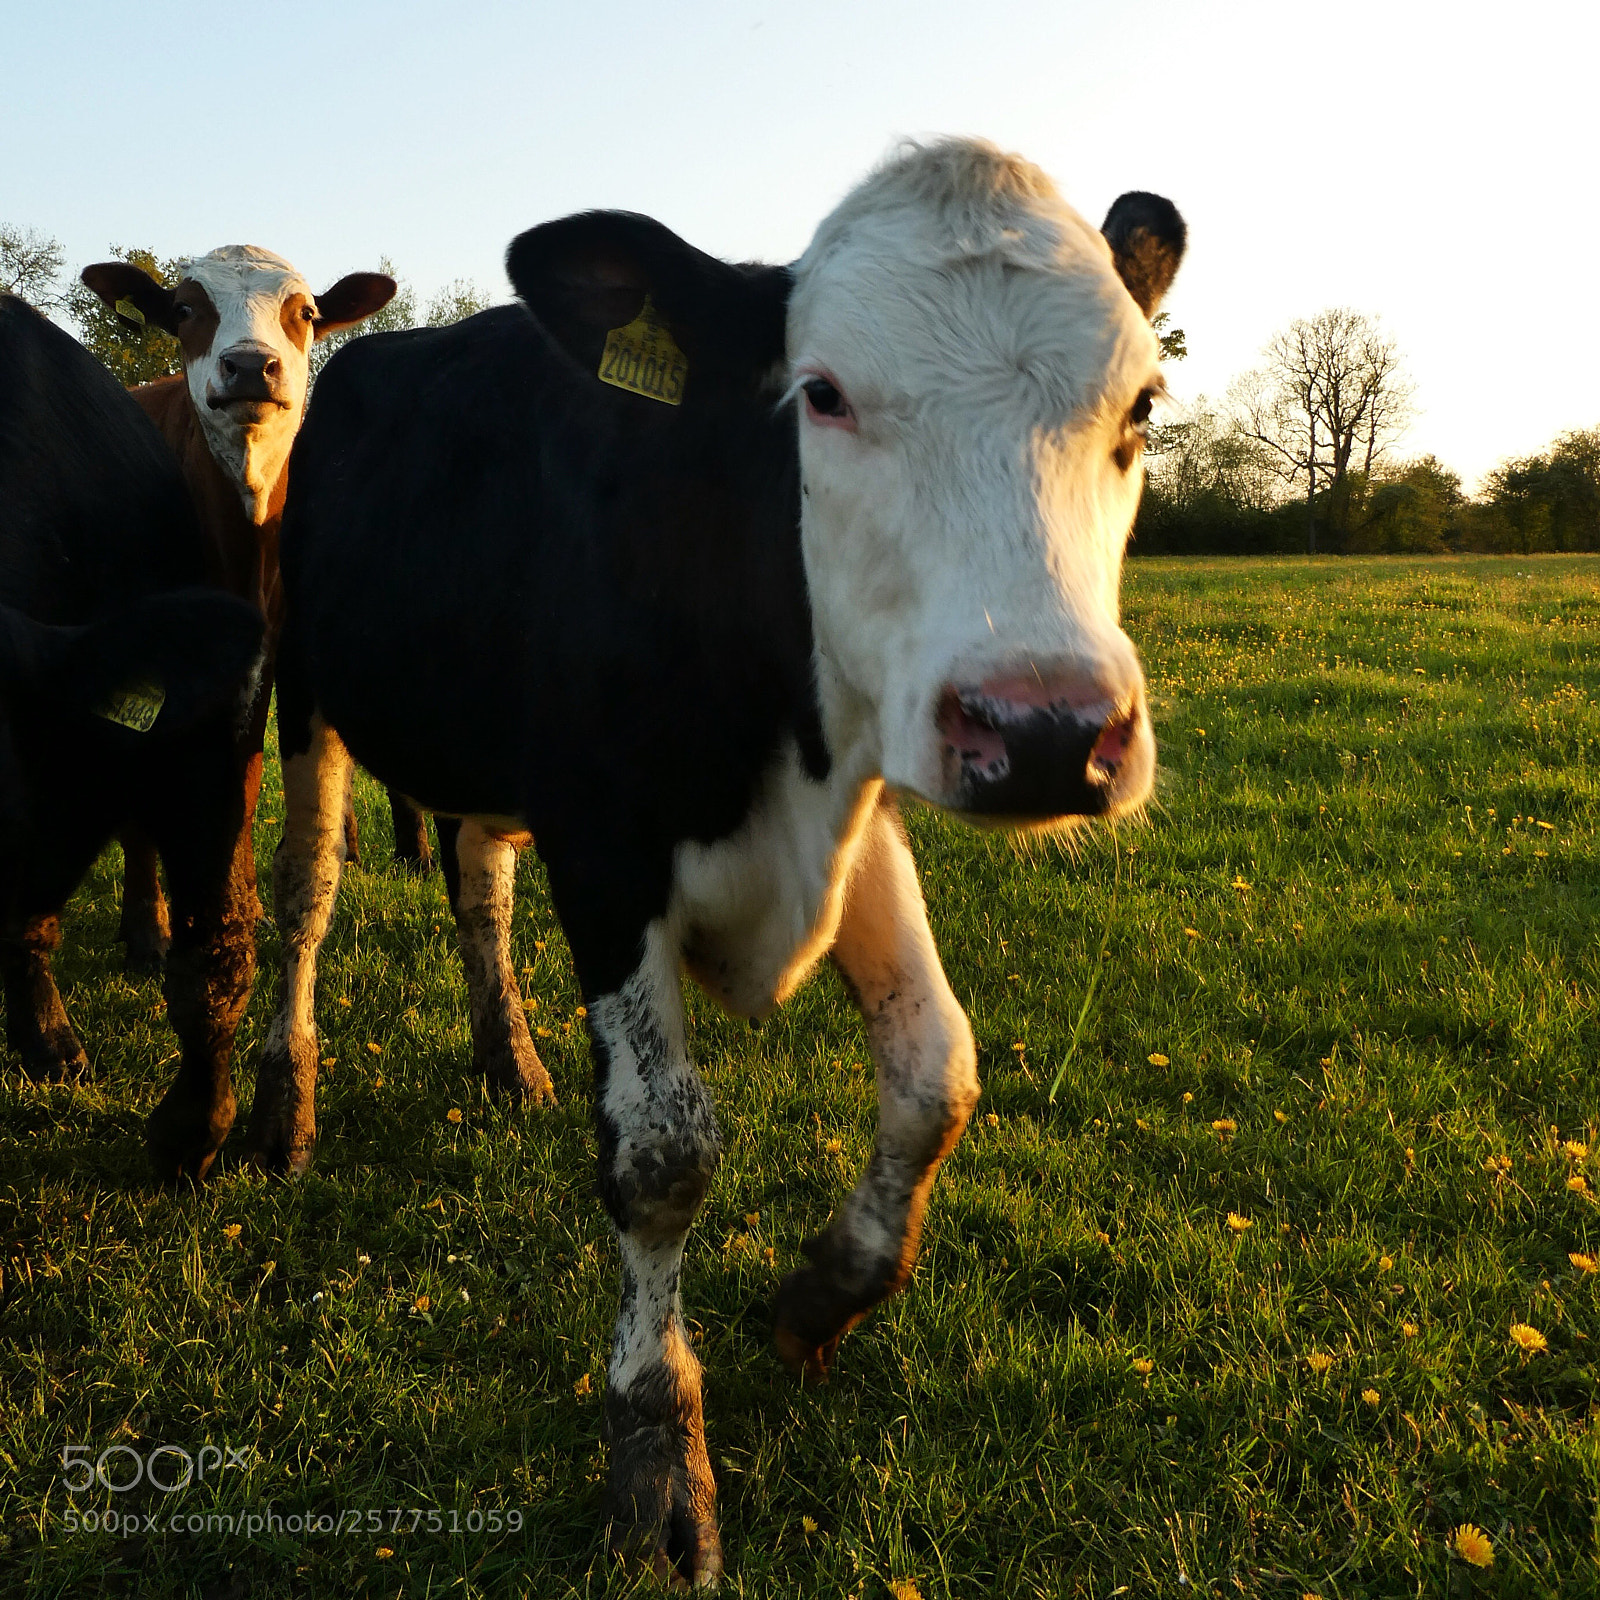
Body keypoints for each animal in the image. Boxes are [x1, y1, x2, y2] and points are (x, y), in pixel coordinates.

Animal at [77, 247, 399, 974]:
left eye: (304, 312)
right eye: (185, 309)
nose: (251, 366)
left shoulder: (265, 657)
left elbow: (244, 782)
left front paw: (238, 907)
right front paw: (156, 928)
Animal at [244, 140, 1185, 1582]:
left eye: (1141, 401)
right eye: (822, 394)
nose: (1046, 734)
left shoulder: (855, 788)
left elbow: (937, 1072)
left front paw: (819, 1297)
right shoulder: (604, 839)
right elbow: (663, 1153)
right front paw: (656, 1446)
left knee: (476, 880)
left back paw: (506, 1054)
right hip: (308, 690)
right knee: (306, 896)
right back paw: (277, 1101)